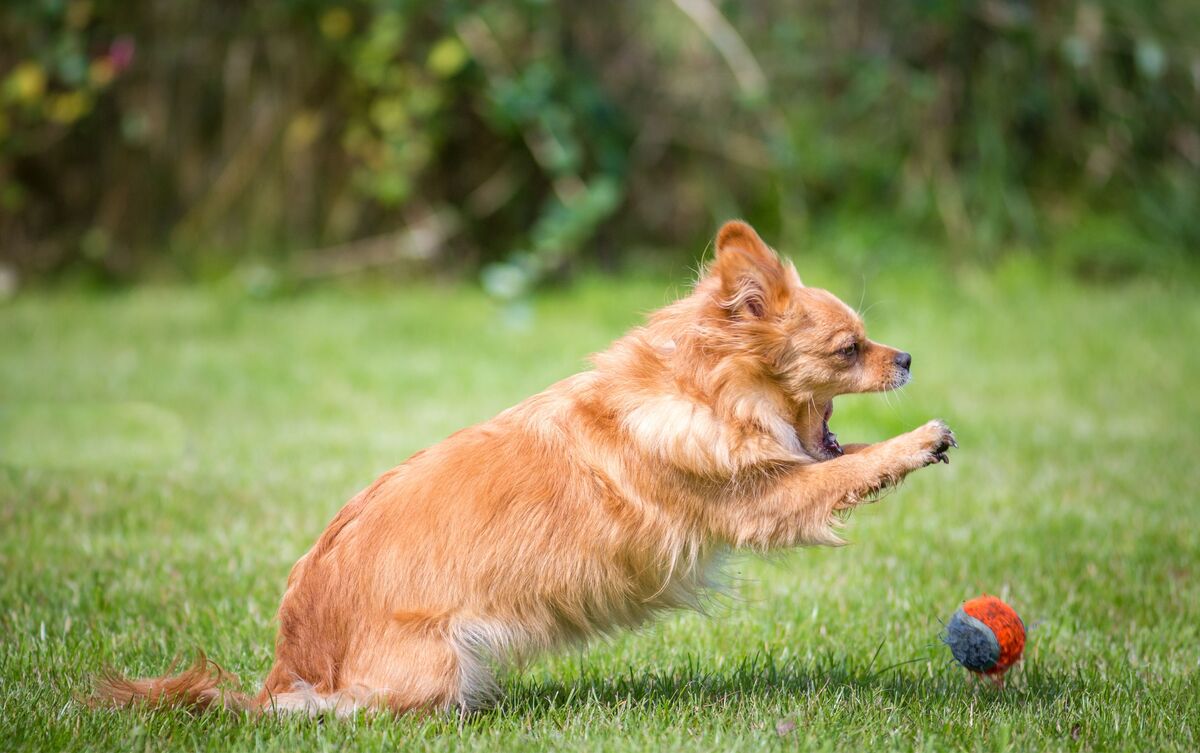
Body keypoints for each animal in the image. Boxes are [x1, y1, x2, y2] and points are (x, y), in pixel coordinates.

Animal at [96, 219, 955, 719]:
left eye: (869, 338)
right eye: (849, 349)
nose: (910, 356)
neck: (698, 389)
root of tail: (288, 664)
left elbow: (840, 466)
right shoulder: (762, 499)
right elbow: (835, 478)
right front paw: (917, 440)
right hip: (434, 666)